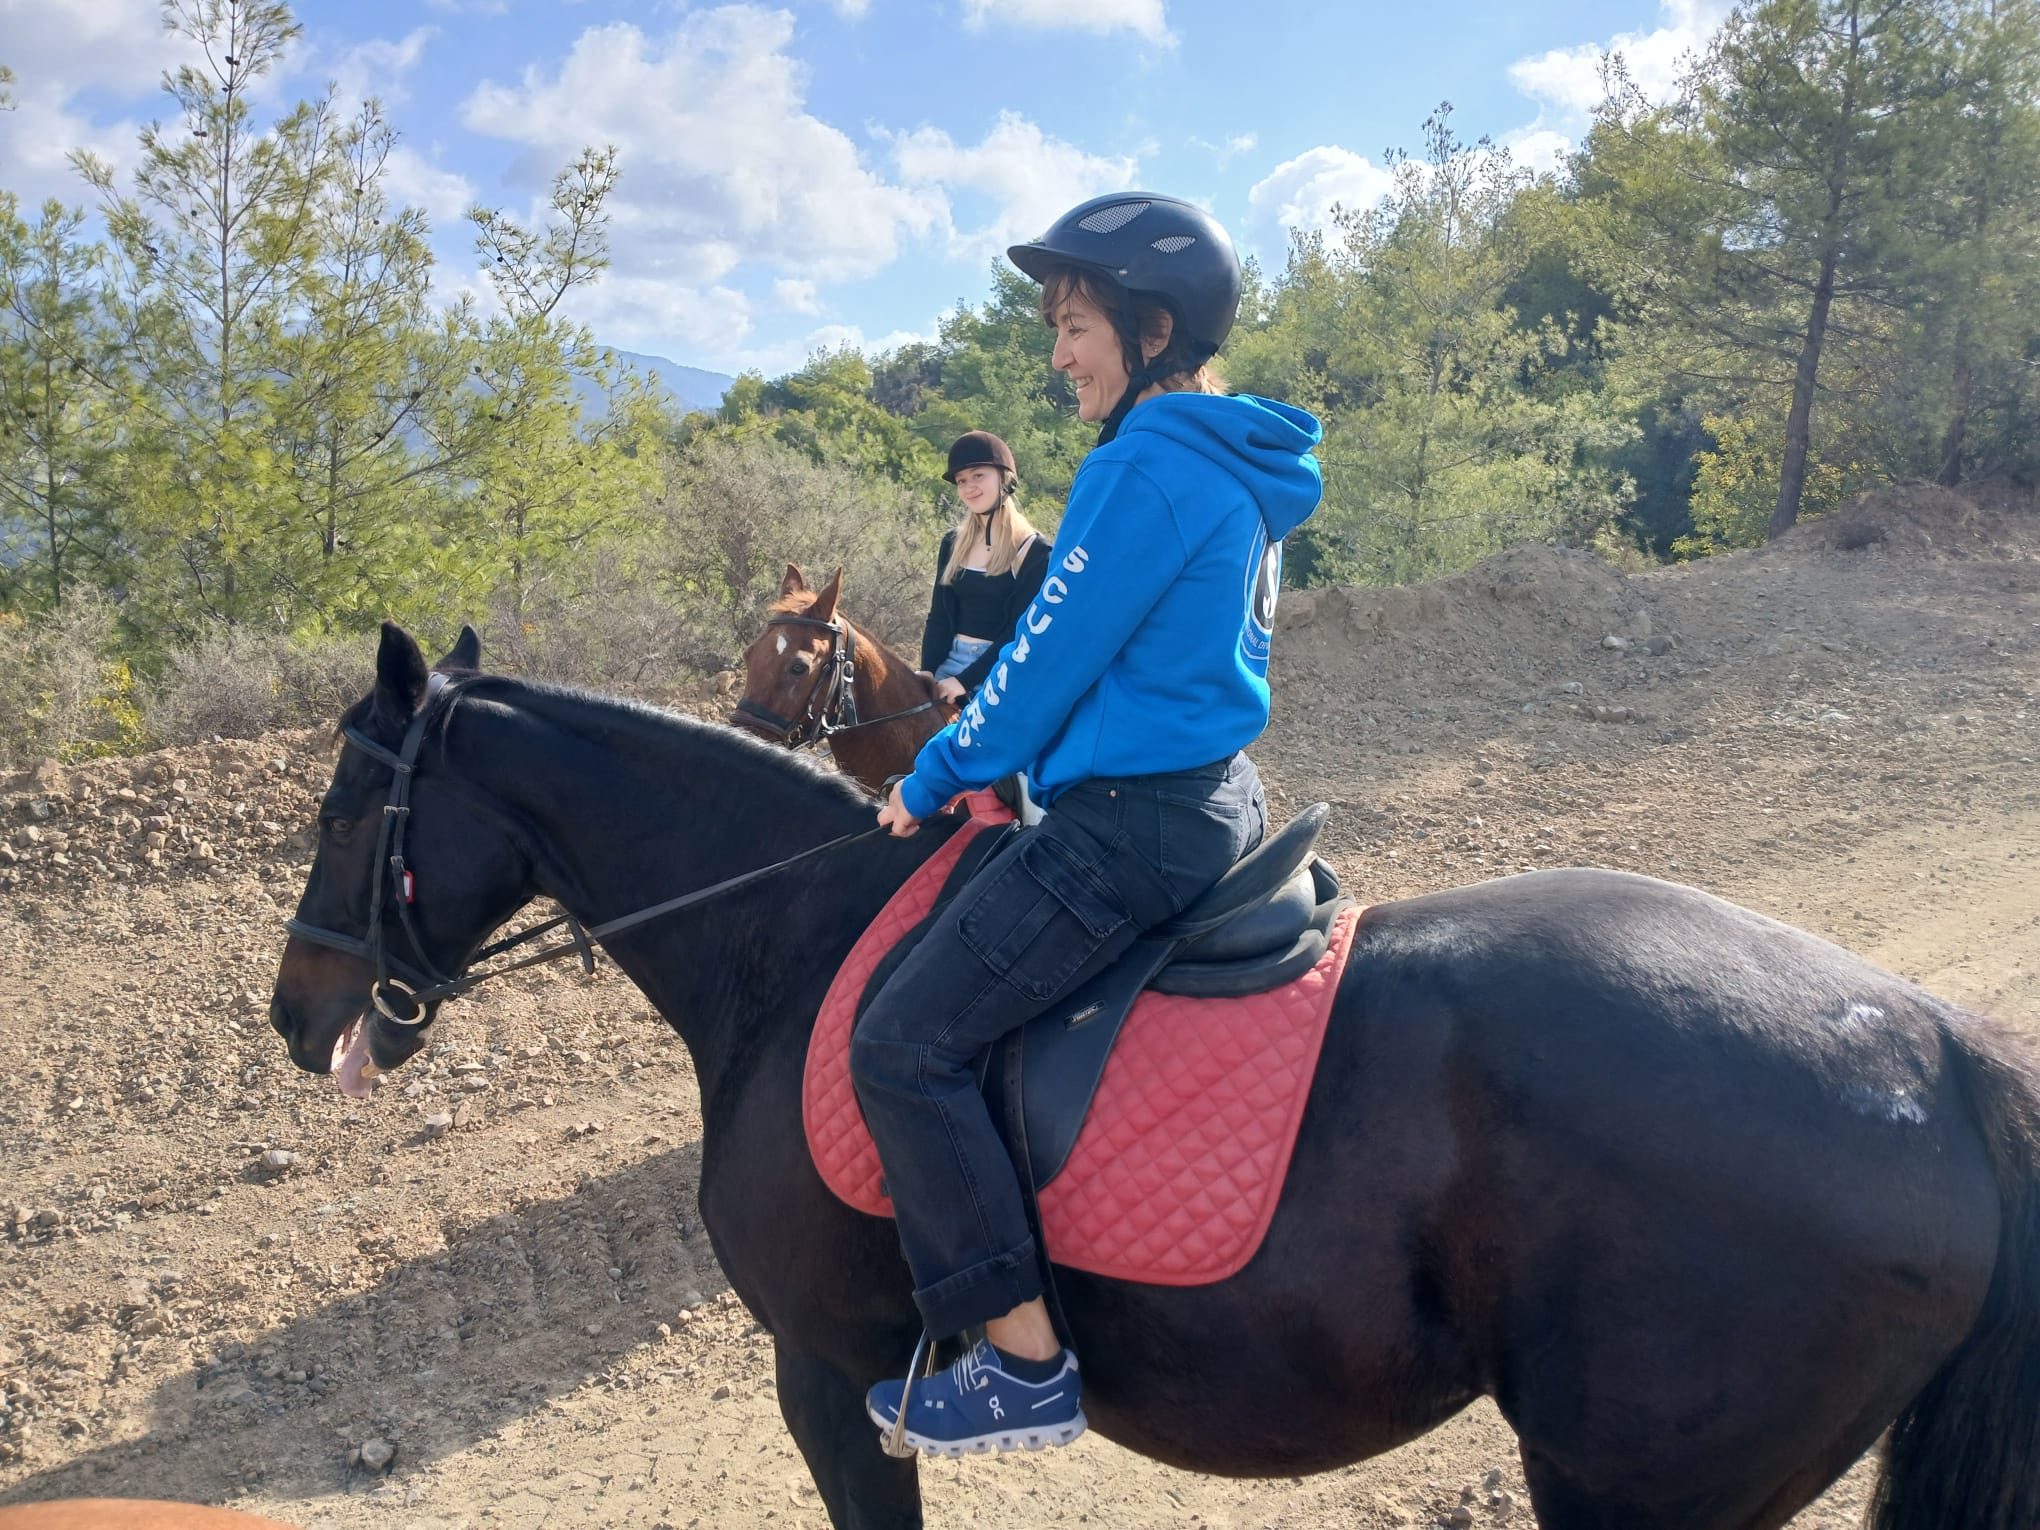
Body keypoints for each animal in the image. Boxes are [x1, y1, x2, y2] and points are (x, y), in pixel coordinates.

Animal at [268, 622, 2040, 1530]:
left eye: (348, 811)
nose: (296, 1015)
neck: (789, 937)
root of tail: (1937, 1051)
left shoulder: (829, 1376)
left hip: (1639, 1494)